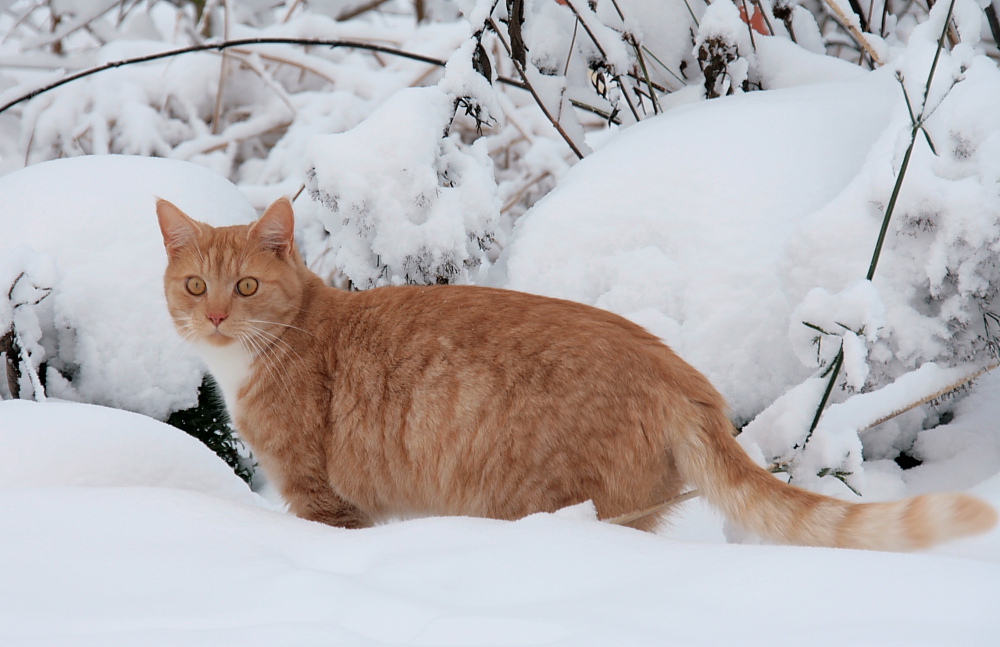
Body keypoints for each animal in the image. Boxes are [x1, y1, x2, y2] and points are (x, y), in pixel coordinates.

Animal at [152, 199, 996, 552]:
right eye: (195, 286)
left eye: (246, 287)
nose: (216, 316)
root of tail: (684, 378)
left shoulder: (321, 498)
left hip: (549, 501)